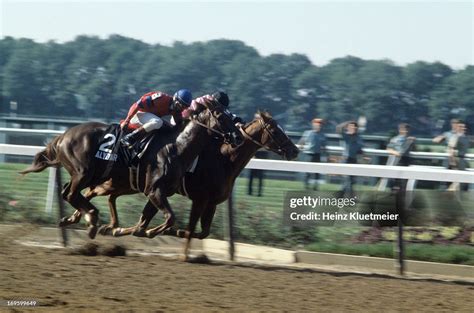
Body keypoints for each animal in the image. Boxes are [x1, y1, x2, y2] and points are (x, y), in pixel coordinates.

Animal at [19, 106, 241, 238]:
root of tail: (63, 135)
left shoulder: (159, 191)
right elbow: (169, 218)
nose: (237, 137)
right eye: (221, 116)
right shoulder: (155, 190)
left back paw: (79, 219)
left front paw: (141, 231)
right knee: (71, 193)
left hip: (96, 176)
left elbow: (150, 217)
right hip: (84, 172)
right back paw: (92, 219)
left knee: (72, 192)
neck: (177, 147)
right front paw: (148, 232)